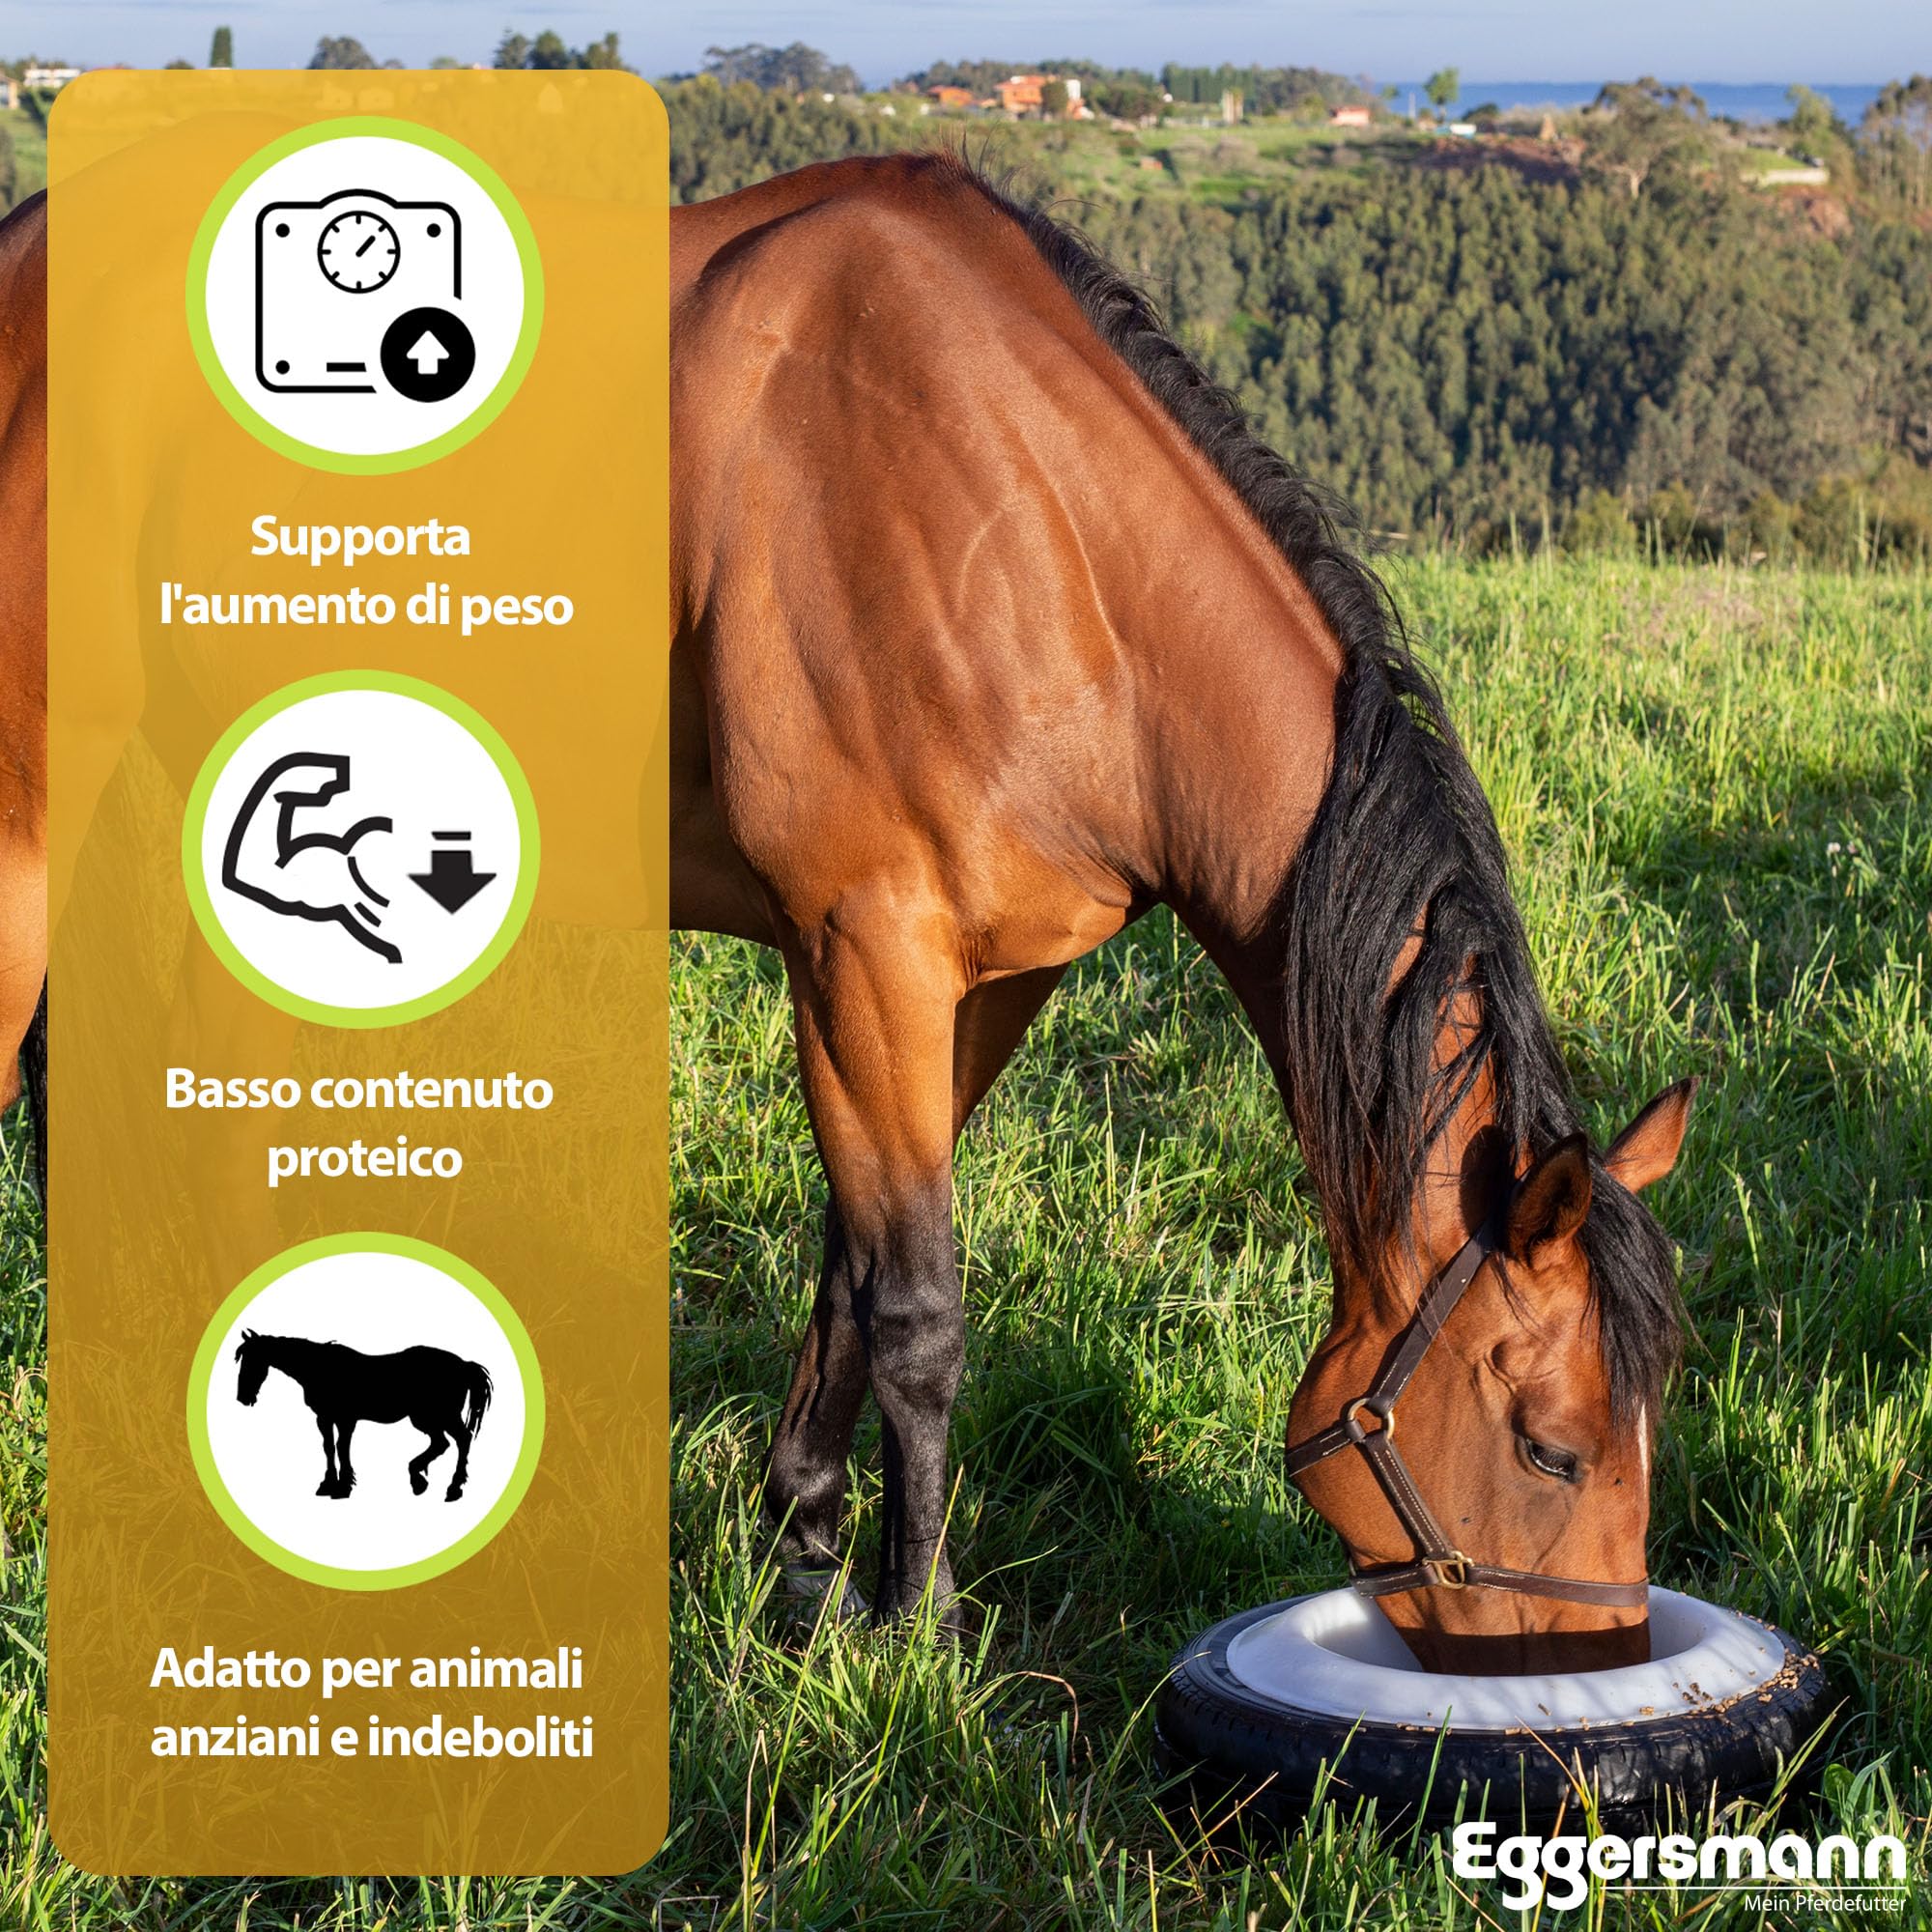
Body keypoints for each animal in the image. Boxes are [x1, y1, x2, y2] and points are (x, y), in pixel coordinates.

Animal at [234, 1329, 492, 1502]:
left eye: (252, 1361)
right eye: (242, 1360)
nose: (242, 1397)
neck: (321, 1368)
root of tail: (464, 1365)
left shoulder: (346, 1419)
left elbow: (341, 1447)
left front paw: (343, 1487)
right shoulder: (324, 1418)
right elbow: (329, 1448)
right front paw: (328, 1485)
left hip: (436, 1416)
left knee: (461, 1440)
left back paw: (453, 1488)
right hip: (427, 1419)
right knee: (442, 1443)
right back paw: (419, 1480)